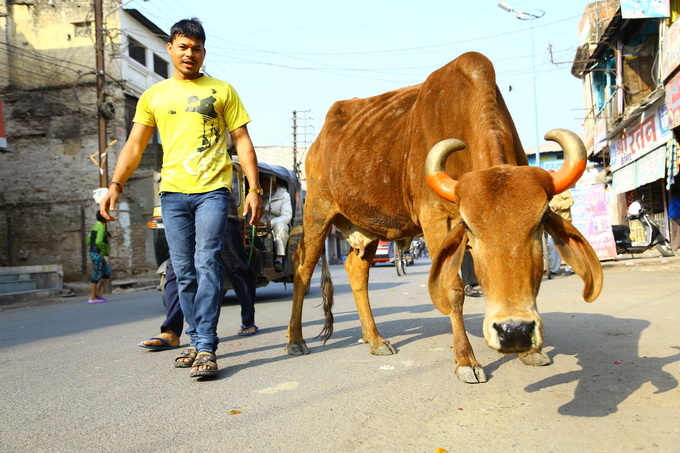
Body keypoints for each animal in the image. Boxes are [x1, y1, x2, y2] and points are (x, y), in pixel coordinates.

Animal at [284, 51, 604, 382]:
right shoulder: (436, 218)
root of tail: (317, 144)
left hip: (367, 227)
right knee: (302, 269)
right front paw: (466, 360)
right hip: (317, 211)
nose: (513, 331)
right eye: (470, 228)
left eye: (538, 223)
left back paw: (375, 339)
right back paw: (296, 340)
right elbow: (452, 290)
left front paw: (531, 351)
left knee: (356, 271)